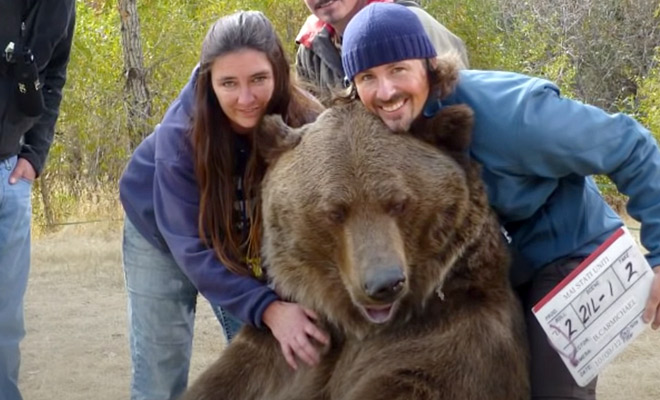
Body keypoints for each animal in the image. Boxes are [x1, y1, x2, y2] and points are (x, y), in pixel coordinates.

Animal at [182, 95, 532, 398]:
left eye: (399, 203)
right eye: (335, 212)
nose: (385, 284)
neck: (357, 328)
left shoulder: (449, 340)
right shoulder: (283, 349)